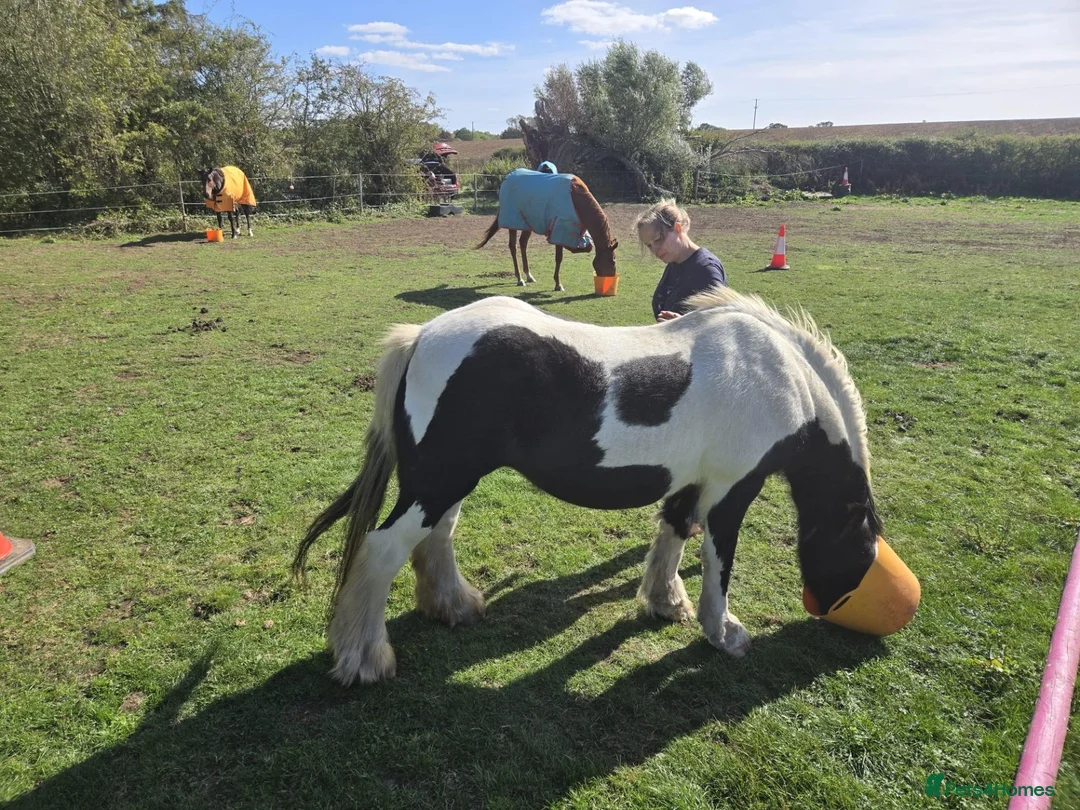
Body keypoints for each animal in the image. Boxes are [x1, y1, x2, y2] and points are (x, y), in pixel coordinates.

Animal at [294, 286, 905, 686]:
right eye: (860, 553)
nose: (829, 609)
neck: (776, 375)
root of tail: (420, 336)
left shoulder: (690, 482)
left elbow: (674, 532)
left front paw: (665, 603)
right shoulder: (732, 488)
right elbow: (718, 561)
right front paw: (723, 632)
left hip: (444, 482)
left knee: (436, 537)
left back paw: (454, 607)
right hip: (438, 481)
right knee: (382, 549)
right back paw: (364, 659)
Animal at [475, 166, 618, 291]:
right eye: (613, 261)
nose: (610, 280)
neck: (575, 198)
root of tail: (506, 179)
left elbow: (587, 247)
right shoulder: (560, 229)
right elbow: (559, 258)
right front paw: (558, 285)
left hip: (527, 224)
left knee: (523, 243)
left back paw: (529, 276)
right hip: (513, 222)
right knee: (513, 247)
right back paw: (520, 279)